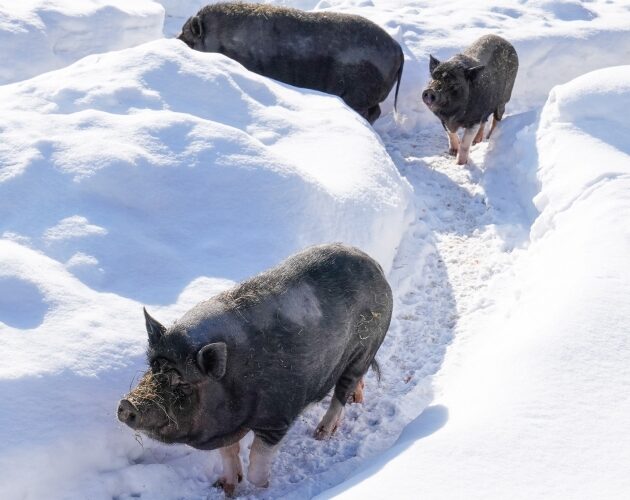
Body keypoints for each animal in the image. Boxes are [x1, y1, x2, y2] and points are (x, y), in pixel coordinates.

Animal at [118, 243, 392, 496]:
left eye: (183, 382)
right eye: (153, 367)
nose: (127, 404)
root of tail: (375, 265)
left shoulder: (277, 417)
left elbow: (258, 458)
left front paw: (264, 487)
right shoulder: (222, 427)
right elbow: (228, 453)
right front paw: (225, 487)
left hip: (364, 350)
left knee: (341, 392)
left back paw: (321, 434)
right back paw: (356, 400)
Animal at [178, 2, 404, 123]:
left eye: (189, 39)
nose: (177, 41)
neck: (220, 38)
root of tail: (398, 50)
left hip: (359, 93)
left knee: (371, 112)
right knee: (376, 111)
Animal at [422, 35, 520, 164]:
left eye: (453, 83)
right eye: (433, 77)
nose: (430, 91)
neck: (453, 115)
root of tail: (505, 40)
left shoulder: (474, 120)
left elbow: (465, 143)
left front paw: (459, 163)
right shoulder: (442, 119)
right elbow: (450, 133)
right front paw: (452, 152)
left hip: (504, 98)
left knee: (496, 118)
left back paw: (489, 137)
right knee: (485, 120)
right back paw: (477, 141)